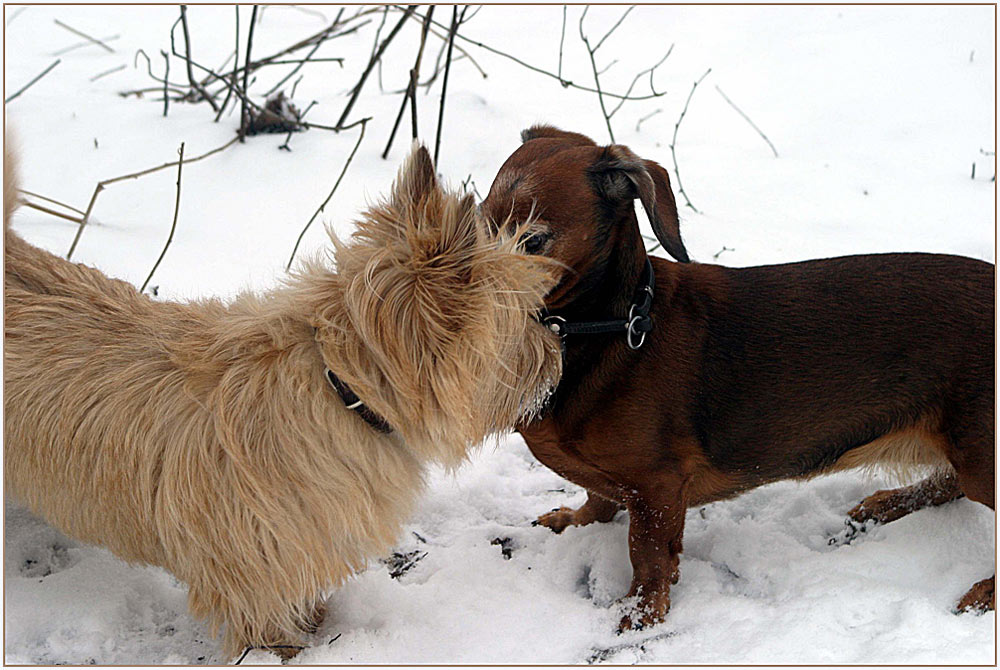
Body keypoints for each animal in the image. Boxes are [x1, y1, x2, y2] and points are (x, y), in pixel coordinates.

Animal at [482, 127, 992, 636]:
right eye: (483, 226)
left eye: (533, 240)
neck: (611, 329)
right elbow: (599, 499)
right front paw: (576, 520)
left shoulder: (657, 486)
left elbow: (647, 556)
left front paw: (640, 616)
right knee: (948, 483)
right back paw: (888, 503)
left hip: (978, 450)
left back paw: (985, 590)